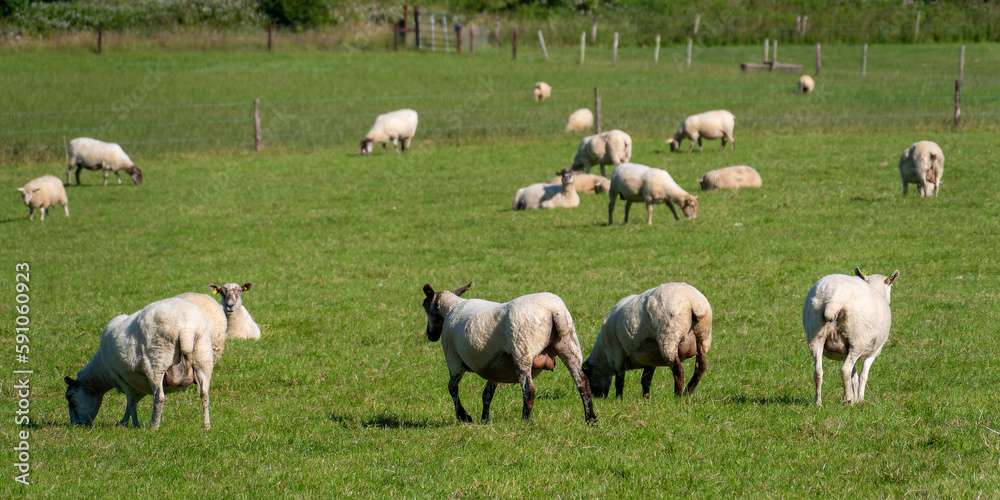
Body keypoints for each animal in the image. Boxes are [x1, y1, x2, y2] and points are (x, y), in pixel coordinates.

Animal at [64, 297, 214, 429]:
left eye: (70, 398)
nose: (76, 425)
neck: (102, 372)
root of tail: (186, 329)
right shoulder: (138, 384)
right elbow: (134, 402)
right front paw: (124, 422)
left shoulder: (122, 378)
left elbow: (131, 402)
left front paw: (134, 424)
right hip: (203, 358)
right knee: (204, 394)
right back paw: (206, 426)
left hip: (156, 362)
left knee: (159, 397)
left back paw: (154, 426)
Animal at [422, 282, 597, 425]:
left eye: (425, 306)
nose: (430, 336)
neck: (451, 308)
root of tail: (555, 311)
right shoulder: (494, 368)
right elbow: (487, 394)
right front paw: (484, 420)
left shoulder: (454, 361)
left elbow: (452, 388)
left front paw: (463, 416)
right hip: (569, 345)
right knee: (583, 383)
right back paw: (591, 420)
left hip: (522, 351)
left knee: (529, 390)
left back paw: (525, 421)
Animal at [583, 283, 713, 399]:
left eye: (588, 379)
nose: (597, 397)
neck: (603, 356)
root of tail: (694, 302)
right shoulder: (650, 358)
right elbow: (645, 379)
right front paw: (646, 398)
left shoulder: (617, 356)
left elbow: (619, 381)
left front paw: (618, 399)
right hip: (703, 337)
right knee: (701, 367)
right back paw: (687, 392)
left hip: (669, 338)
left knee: (678, 371)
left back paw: (678, 396)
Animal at [802, 267, 899, 406]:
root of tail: (834, 299)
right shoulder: (873, 352)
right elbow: (862, 375)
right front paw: (859, 400)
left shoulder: (845, 351)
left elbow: (854, 378)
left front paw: (853, 398)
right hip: (858, 341)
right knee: (845, 370)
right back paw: (848, 399)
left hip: (815, 335)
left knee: (818, 371)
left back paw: (818, 402)